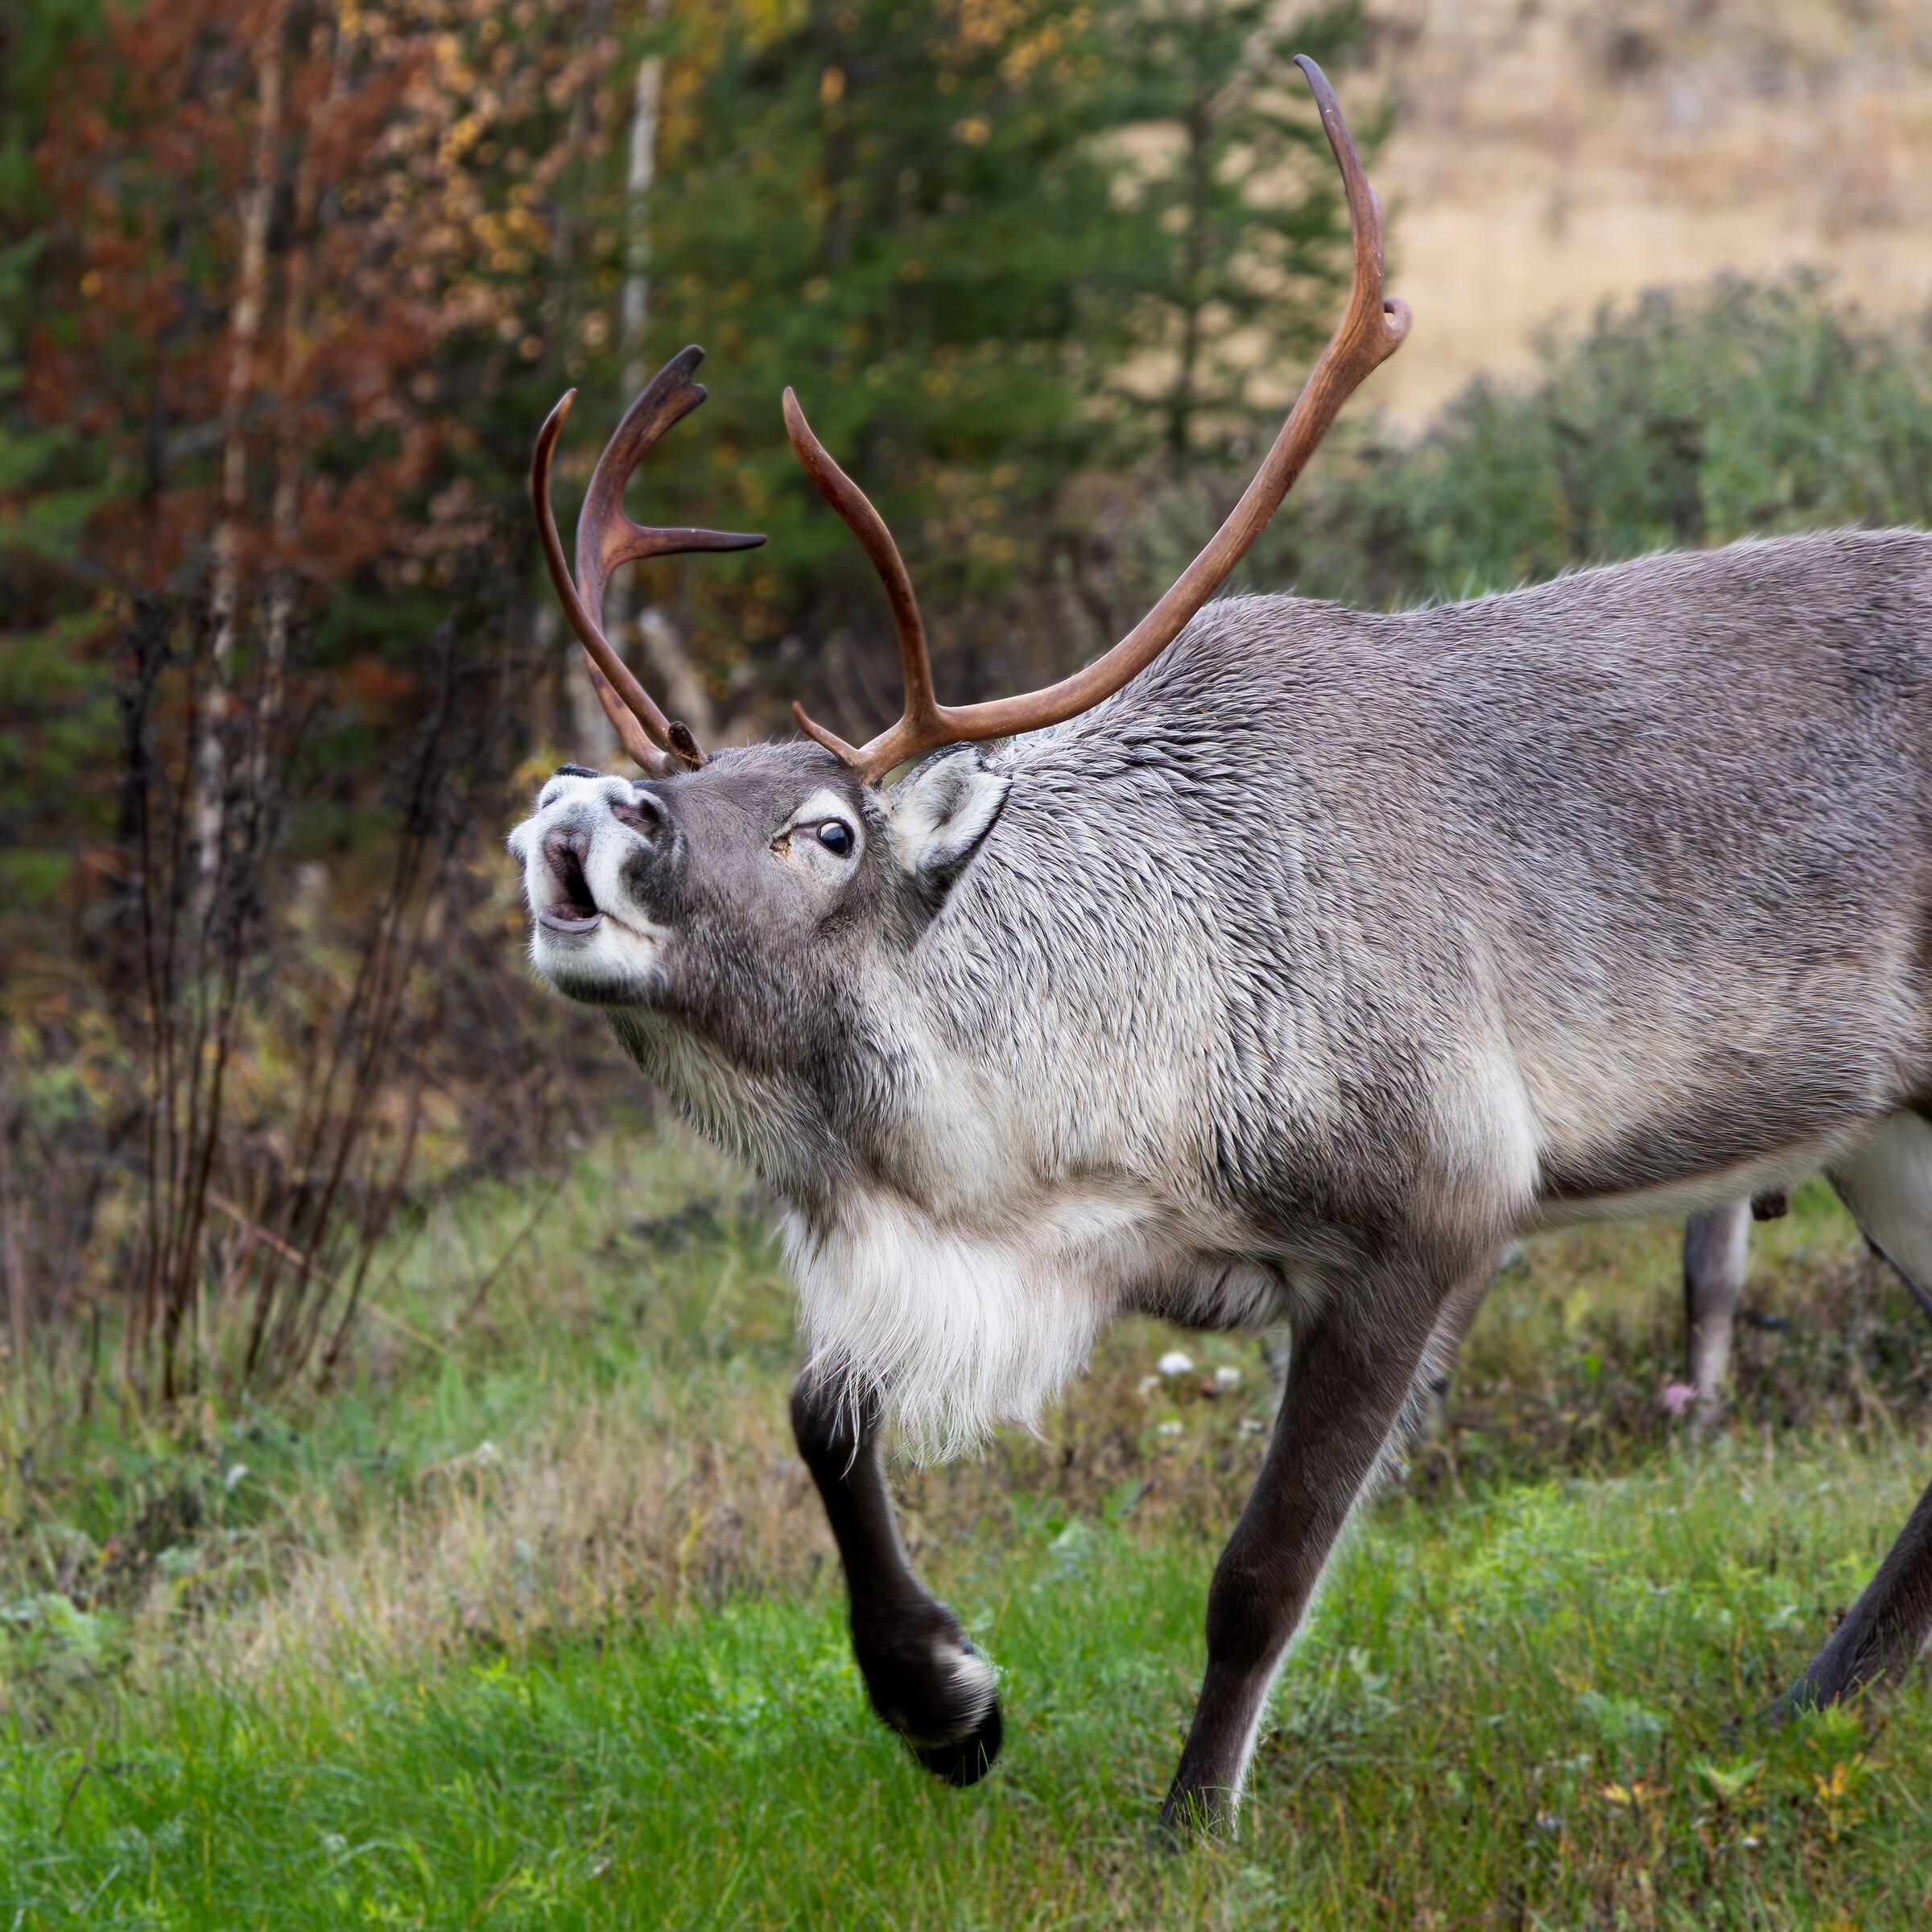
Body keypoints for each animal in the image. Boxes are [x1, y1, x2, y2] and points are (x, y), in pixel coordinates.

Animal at [505, 59, 1932, 1837]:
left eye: (826, 831)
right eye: (672, 785)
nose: (578, 812)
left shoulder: (1438, 1206)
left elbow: (1260, 1573)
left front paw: (1187, 1826)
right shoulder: (1088, 1251)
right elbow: (819, 1409)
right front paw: (946, 1702)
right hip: (1888, 1142)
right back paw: (1815, 1703)